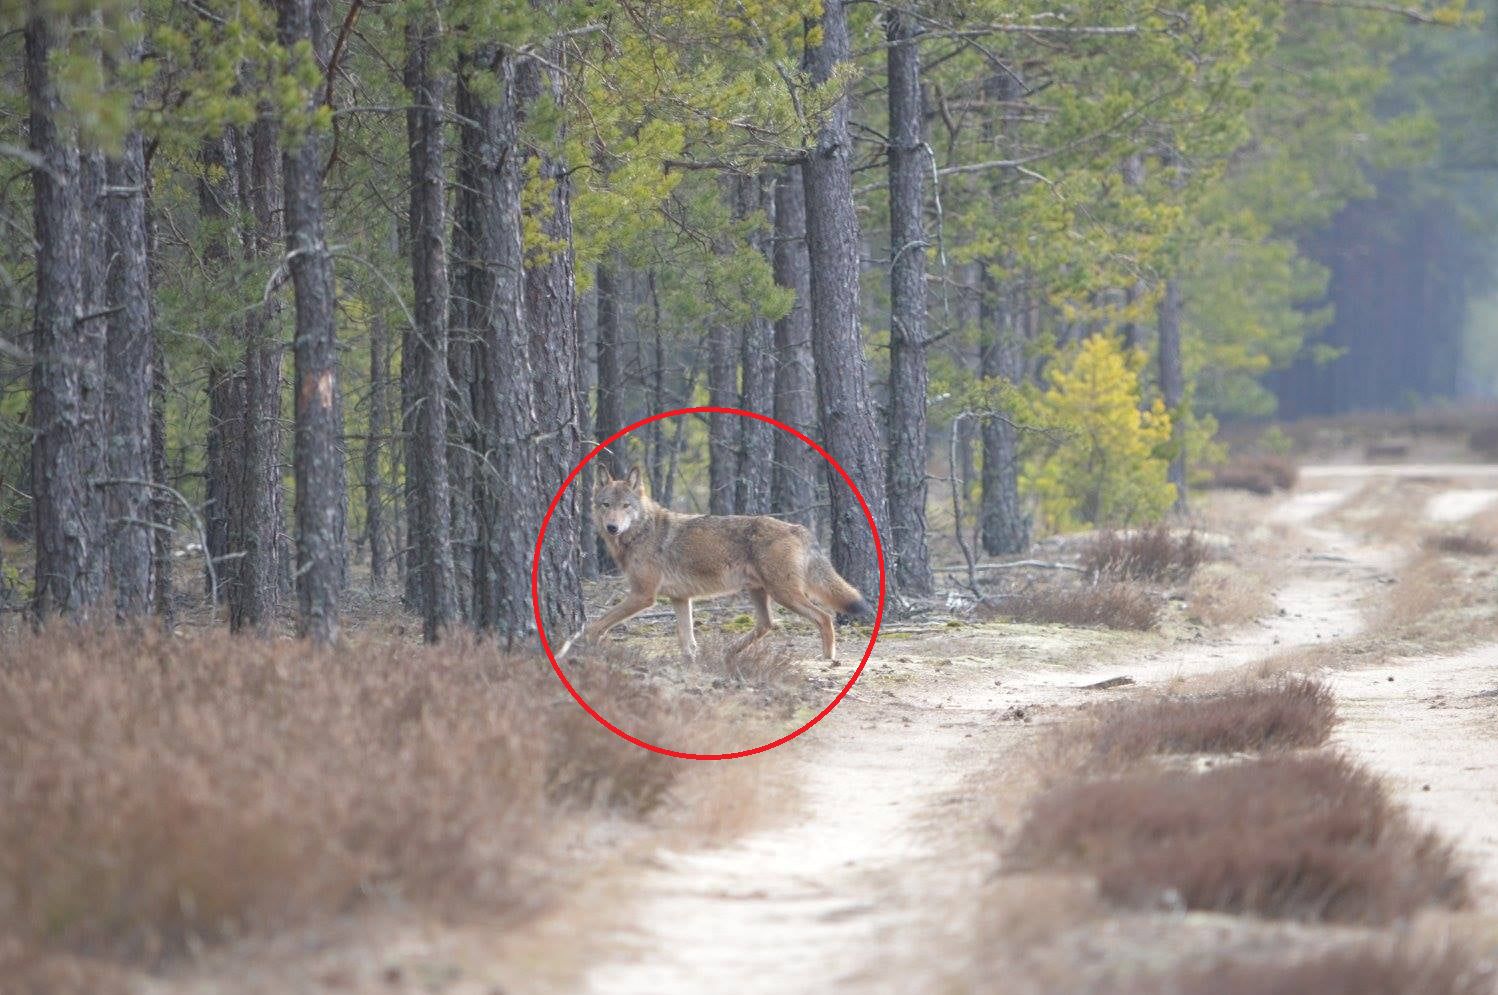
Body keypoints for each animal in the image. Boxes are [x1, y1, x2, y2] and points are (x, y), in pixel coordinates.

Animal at [581, 467, 874, 659]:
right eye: (606, 505)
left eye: (626, 506)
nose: (612, 527)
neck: (641, 533)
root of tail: (797, 528)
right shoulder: (680, 598)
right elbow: (686, 638)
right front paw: (692, 661)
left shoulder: (643, 596)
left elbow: (599, 622)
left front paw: (585, 642)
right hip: (760, 592)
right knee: (768, 625)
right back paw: (729, 651)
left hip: (785, 594)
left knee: (824, 617)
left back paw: (827, 658)